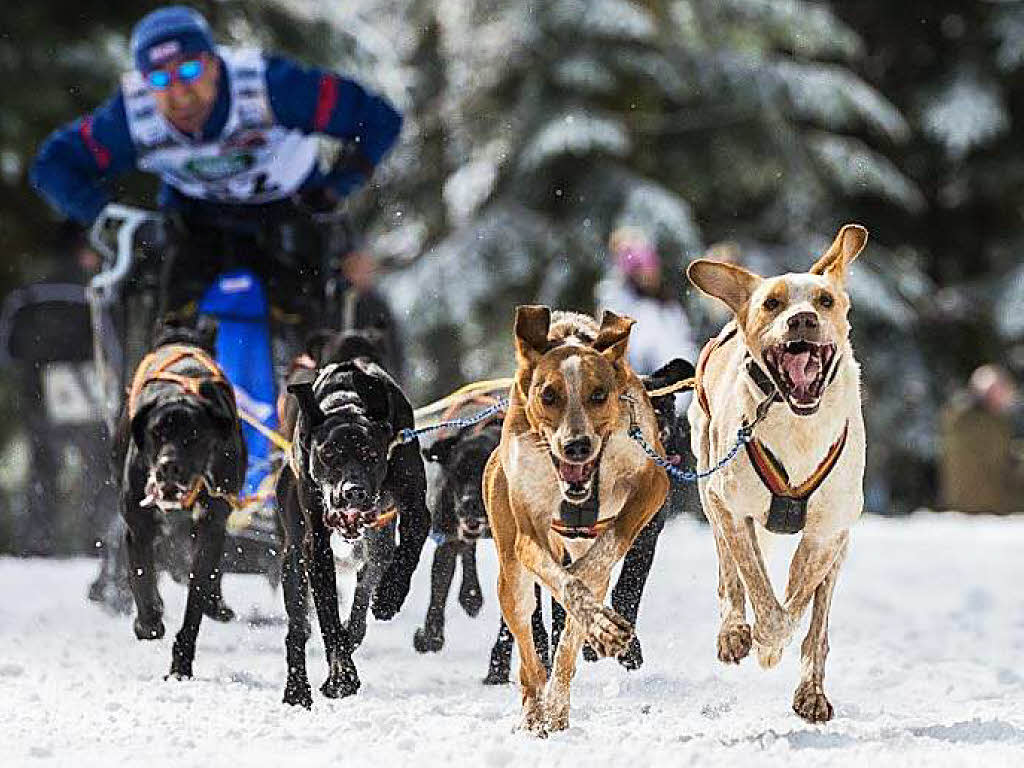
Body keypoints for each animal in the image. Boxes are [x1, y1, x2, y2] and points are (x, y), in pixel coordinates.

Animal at [116, 325, 245, 679]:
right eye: (156, 432)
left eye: (194, 436)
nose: (168, 466)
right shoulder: (138, 525)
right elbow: (142, 576)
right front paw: (148, 622)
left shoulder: (212, 521)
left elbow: (198, 588)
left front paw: (181, 663)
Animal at [274, 342, 430, 708]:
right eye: (328, 453)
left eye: (371, 455)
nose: (352, 492)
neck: (348, 403)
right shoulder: (315, 545)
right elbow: (328, 616)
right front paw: (341, 676)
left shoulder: (415, 508)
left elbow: (409, 549)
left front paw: (390, 594)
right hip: (293, 555)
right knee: (297, 626)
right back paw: (296, 688)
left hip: (378, 540)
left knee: (367, 581)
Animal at [481, 307, 667, 741]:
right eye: (548, 395)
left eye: (599, 395)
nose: (577, 446)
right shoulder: (528, 533)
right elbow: (564, 582)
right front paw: (592, 614)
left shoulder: (652, 483)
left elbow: (598, 559)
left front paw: (598, 620)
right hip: (512, 581)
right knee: (529, 657)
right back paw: (536, 713)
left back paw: (557, 707)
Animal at [688, 225, 872, 724]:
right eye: (772, 303)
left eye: (825, 300)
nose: (803, 320)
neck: (799, 428)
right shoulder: (730, 506)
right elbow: (755, 586)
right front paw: (760, 641)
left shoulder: (827, 533)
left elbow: (798, 603)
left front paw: (784, 654)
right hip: (709, 484)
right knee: (728, 572)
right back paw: (733, 632)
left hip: (841, 542)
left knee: (818, 619)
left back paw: (812, 691)